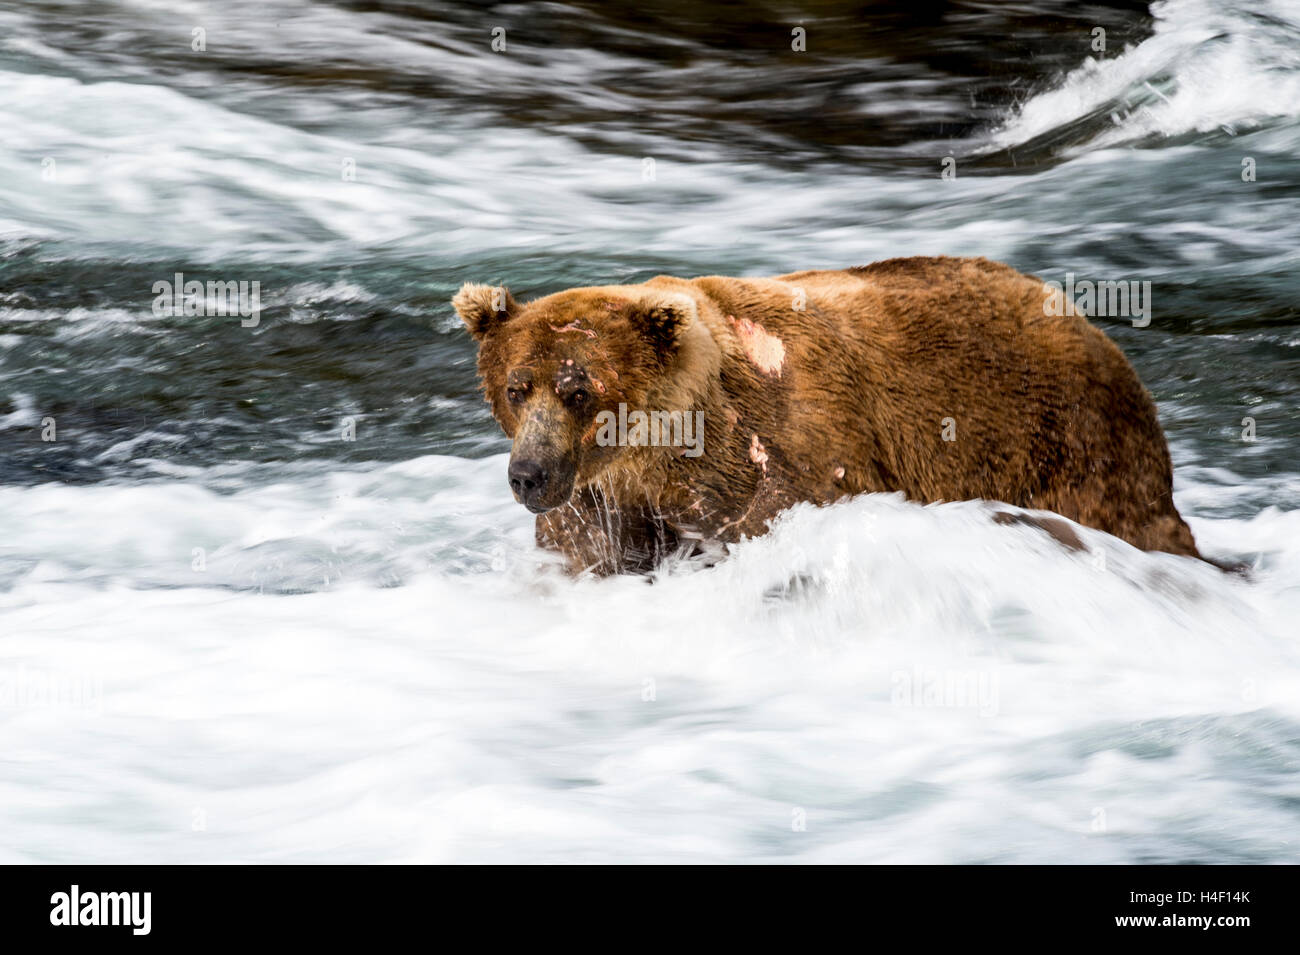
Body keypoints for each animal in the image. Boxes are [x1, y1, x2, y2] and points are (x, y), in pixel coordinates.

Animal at [454, 254, 1196, 579]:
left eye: (579, 389)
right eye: (517, 387)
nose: (528, 473)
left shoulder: (786, 459)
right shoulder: (604, 500)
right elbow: (585, 557)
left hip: (1063, 438)